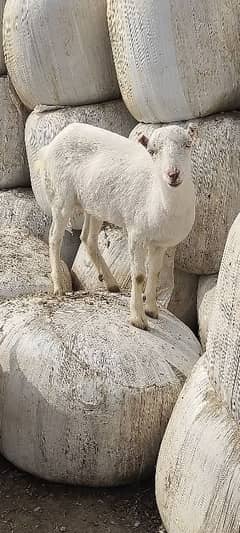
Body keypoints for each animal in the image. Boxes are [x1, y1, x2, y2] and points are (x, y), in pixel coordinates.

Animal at [35, 122, 197, 328]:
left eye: (188, 145)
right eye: (152, 151)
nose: (173, 174)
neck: (158, 196)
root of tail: (60, 136)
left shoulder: (160, 243)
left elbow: (155, 273)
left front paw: (152, 309)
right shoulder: (137, 234)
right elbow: (139, 276)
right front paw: (138, 318)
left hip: (94, 204)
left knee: (87, 239)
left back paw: (111, 283)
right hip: (61, 197)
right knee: (55, 238)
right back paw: (58, 286)